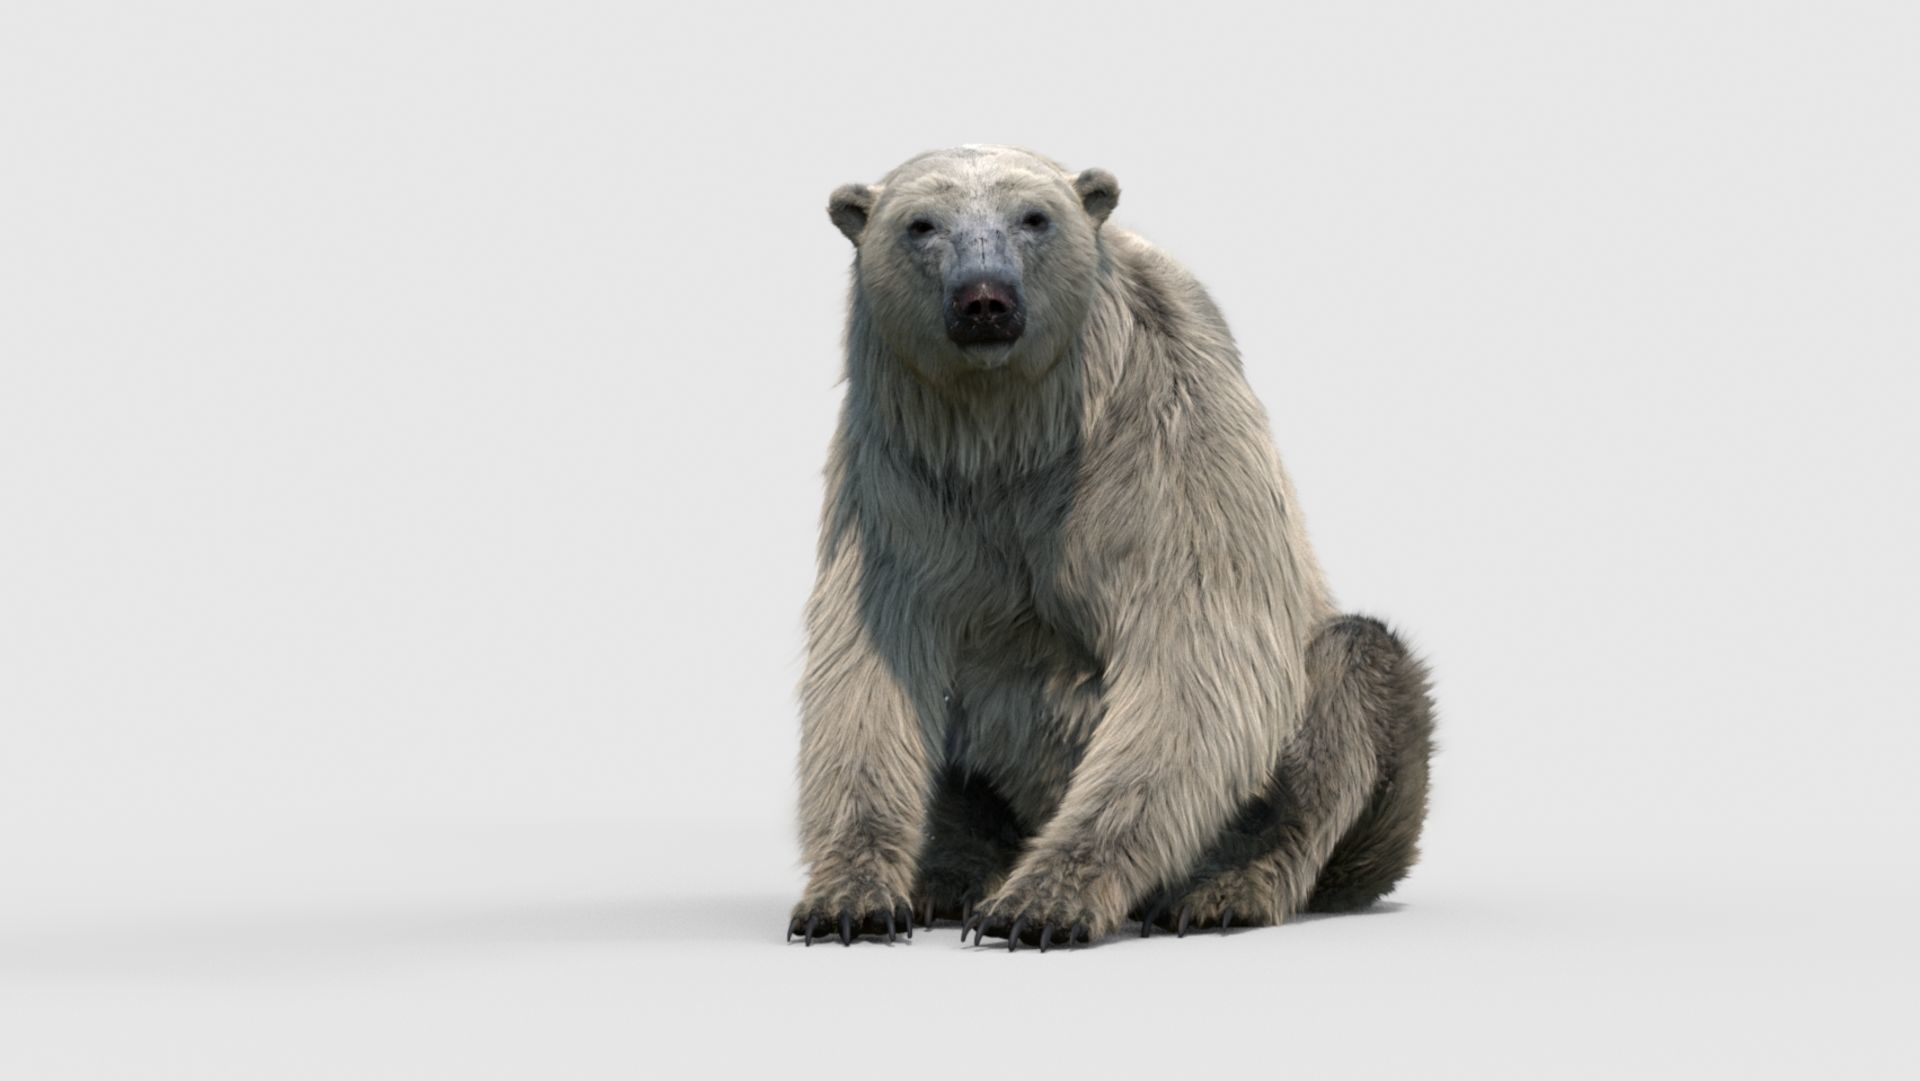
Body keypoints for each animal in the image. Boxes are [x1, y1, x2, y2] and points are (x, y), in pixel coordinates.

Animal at [787, 145, 1435, 949]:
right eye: (921, 224)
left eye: (1035, 217)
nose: (984, 300)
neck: (1010, 432)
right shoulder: (900, 474)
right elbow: (873, 663)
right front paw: (848, 898)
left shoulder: (1166, 439)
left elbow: (1202, 655)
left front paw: (1043, 904)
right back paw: (951, 878)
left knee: (1351, 675)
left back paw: (1219, 890)